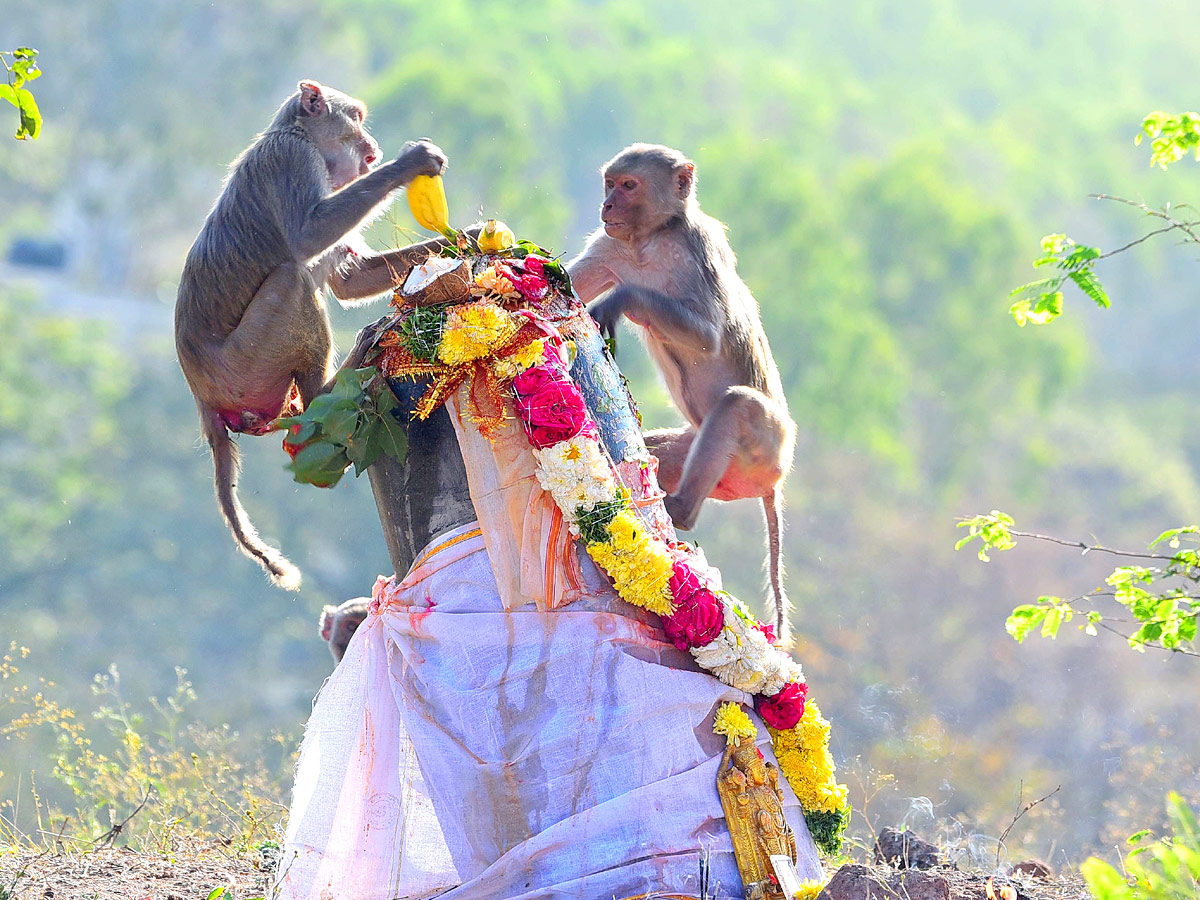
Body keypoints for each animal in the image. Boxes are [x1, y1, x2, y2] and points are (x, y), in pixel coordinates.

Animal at [178, 81, 453, 592]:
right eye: (356, 118)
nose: (373, 149)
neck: (296, 133)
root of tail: (203, 397)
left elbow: (351, 279)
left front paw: (467, 239)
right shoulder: (293, 160)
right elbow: (310, 236)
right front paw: (412, 162)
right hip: (245, 365)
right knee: (293, 276)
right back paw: (327, 389)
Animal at [564, 144, 792, 643]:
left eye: (628, 185)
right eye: (611, 183)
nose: (607, 205)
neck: (649, 239)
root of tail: (774, 483)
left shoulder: (696, 249)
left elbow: (708, 335)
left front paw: (619, 301)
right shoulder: (611, 245)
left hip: (769, 448)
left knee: (737, 405)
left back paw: (681, 511)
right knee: (658, 452)